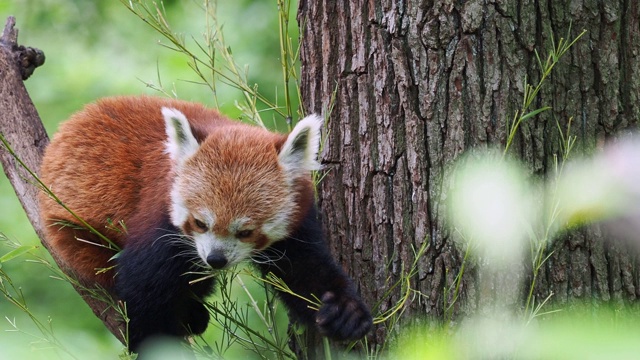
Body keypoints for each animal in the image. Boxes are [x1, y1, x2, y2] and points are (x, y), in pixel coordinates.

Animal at [37, 95, 372, 352]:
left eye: (246, 231)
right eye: (200, 222)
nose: (216, 259)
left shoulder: (295, 223)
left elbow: (306, 271)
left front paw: (344, 312)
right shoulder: (159, 222)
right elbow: (144, 288)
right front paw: (154, 346)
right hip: (73, 229)